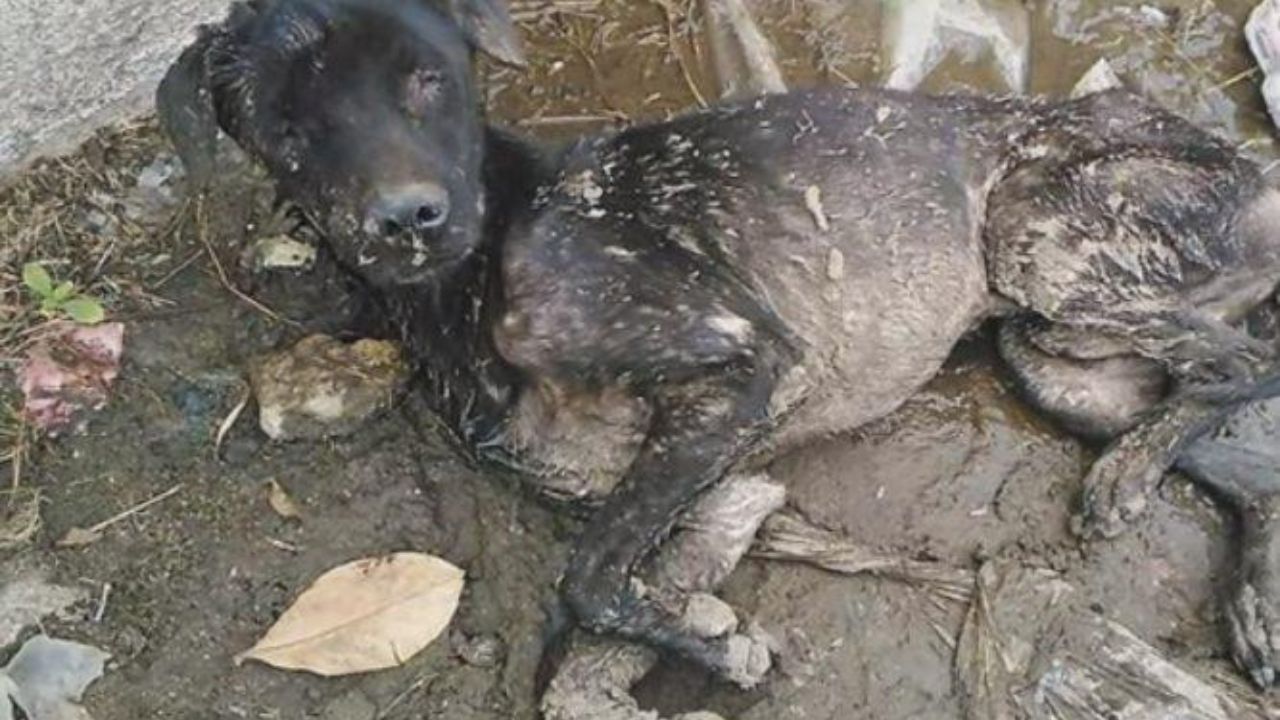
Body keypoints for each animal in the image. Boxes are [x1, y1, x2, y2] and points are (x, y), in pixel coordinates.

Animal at [162, 0, 1280, 686]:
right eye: (285, 125)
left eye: (428, 81)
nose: (405, 219)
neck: (482, 269)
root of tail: (1247, 167)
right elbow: (621, 560)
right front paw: (693, 623)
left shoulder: (746, 365)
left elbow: (586, 578)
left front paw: (716, 646)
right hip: (1050, 355)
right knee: (1240, 431)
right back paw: (1244, 599)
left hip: (1034, 243)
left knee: (1244, 364)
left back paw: (1132, 479)